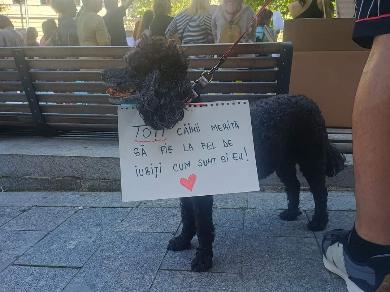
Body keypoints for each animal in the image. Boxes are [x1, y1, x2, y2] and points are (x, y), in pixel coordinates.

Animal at [103, 37, 344, 272]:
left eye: (131, 64)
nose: (103, 74)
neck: (182, 111)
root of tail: (309, 102)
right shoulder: (187, 185)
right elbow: (187, 217)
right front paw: (182, 241)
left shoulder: (203, 191)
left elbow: (203, 225)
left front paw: (203, 259)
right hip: (282, 160)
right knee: (293, 185)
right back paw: (291, 213)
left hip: (310, 156)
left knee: (319, 190)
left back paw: (318, 222)